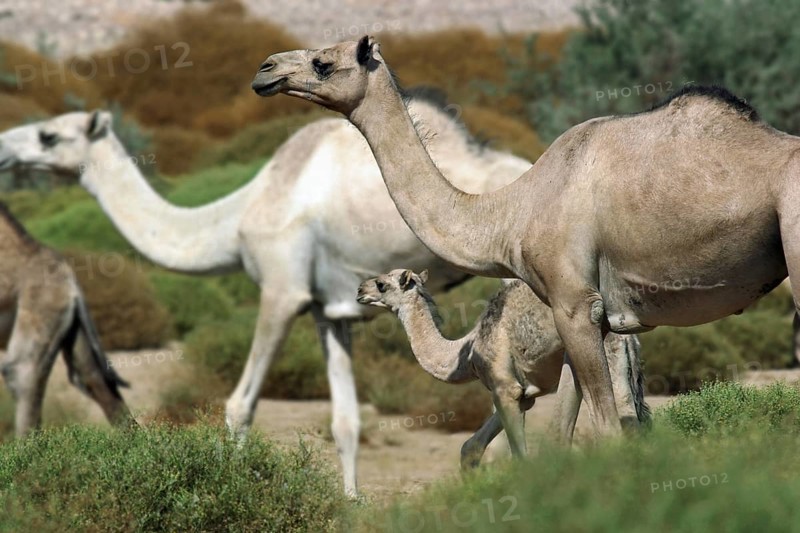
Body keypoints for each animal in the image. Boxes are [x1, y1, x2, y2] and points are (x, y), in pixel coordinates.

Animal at [0, 99, 531, 496]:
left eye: (49, 135)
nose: (4, 149)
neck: (237, 219)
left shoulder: (281, 288)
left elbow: (239, 406)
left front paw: (228, 488)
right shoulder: (329, 308)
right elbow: (345, 419)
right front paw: (351, 502)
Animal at [253, 35, 800, 438]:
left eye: (323, 62)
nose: (265, 69)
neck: (509, 214)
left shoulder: (574, 303)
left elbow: (605, 432)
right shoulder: (591, 319)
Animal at [357, 269, 650, 467]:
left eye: (381, 285)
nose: (360, 290)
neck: (467, 350)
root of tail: (629, 341)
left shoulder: (504, 387)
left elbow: (520, 456)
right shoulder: (522, 395)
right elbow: (470, 447)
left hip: (604, 364)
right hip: (623, 374)